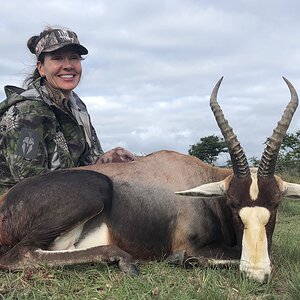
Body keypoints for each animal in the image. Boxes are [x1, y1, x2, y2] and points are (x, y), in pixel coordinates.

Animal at [0, 77, 300, 284]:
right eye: (233, 205)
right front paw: (178, 259)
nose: (257, 272)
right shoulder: (190, 245)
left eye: (275, 205)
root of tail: (7, 201)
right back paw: (122, 259)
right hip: (94, 190)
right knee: (19, 254)